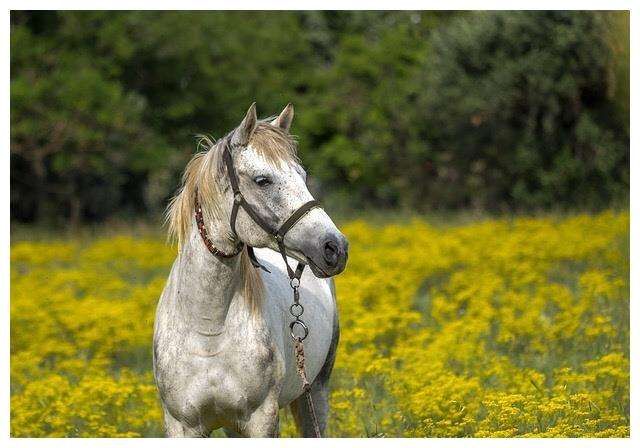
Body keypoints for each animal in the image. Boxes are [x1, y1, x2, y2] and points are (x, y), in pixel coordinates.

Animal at [152, 102, 348, 438]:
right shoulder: (182, 424)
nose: (335, 248)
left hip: (316, 391)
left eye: (303, 175)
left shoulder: (261, 419)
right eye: (262, 180)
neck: (209, 330)